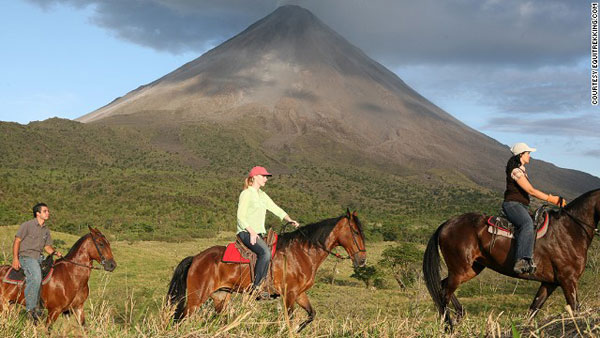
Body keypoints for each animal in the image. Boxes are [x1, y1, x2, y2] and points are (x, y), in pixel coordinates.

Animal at [166, 210, 368, 332]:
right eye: (356, 232)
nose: (362, 260)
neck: (301, 253)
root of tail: (196, 258)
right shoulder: (289, 294)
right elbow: (289, 320)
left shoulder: (299, 294)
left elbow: (311, 315)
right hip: (196, 298)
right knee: (181, 319)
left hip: (220, 296)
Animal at [422, 189, 600, 326]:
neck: (569, 230)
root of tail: (446, 224)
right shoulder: (568, 280)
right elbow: (576, 309)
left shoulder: (550, 283)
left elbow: (533, 310)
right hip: (460, 270)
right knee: (445, 293)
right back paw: (449, 326)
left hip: (471, 269)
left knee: (443, 286)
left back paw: (459, 315)